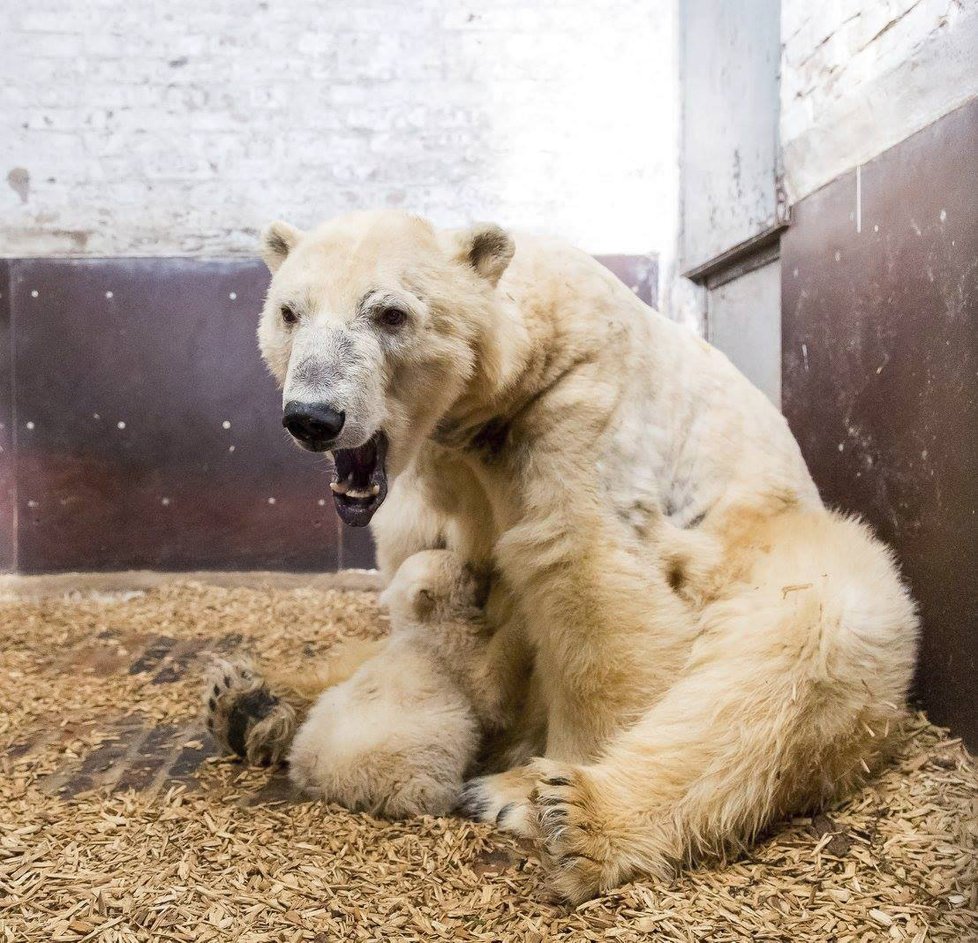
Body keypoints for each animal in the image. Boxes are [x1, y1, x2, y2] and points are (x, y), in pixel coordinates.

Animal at [206, 210, 916, 904]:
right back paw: (249, 700)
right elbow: (425, 579)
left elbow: (586, 573)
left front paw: (541, 793)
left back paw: (580, 814)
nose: (313, 417)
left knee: (785, 654)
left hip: (769, 545)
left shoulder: (578, 405)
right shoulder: (435, 479)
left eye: (390, 314)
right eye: (289, 311)